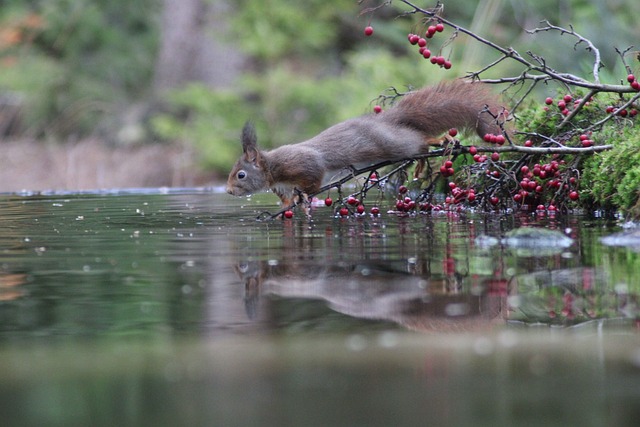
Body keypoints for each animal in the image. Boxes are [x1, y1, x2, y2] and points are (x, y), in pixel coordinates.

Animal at [228, 81, 502, 208]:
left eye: (241, 175)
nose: (229, 191)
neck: (273, 169)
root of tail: (387, 119)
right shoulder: (282, 186)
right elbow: (286, 199)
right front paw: (288, 205)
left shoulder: (303, 163)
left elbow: (314, 177)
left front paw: (303, 195)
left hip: (395, 143)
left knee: (418, 140)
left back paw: (437, 141)